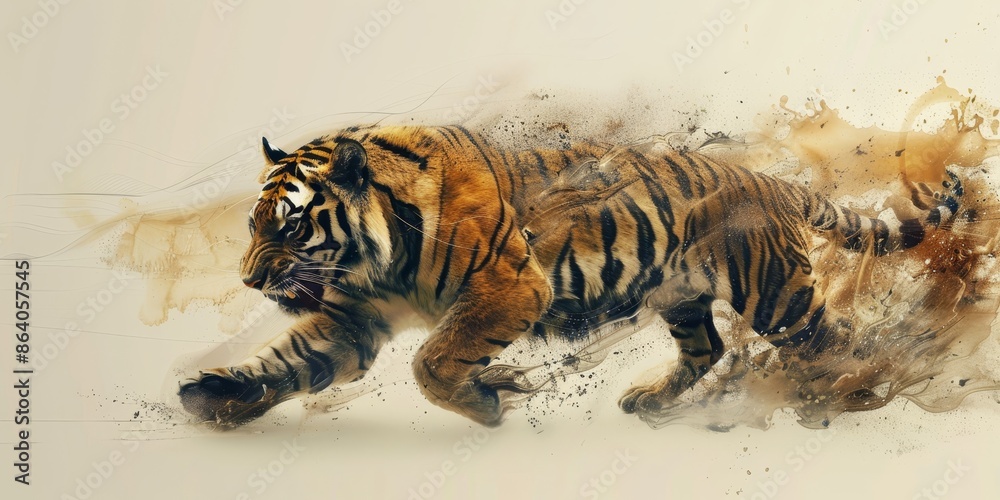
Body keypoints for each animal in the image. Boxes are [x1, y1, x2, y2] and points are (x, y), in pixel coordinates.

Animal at [177, 124, 963, 428]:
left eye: (286, 227)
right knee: (707, 349)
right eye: (252, 226)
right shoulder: (355, 316)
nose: (248, 282)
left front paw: (485, 401)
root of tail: (772, 181)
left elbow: (433, 362)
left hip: (775, 295)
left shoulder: (510, 286)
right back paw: (649, 400)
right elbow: (289, 360)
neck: (376, 249)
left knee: (837, 338)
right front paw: (215, 398)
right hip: (680, 296)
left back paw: (853, 392)